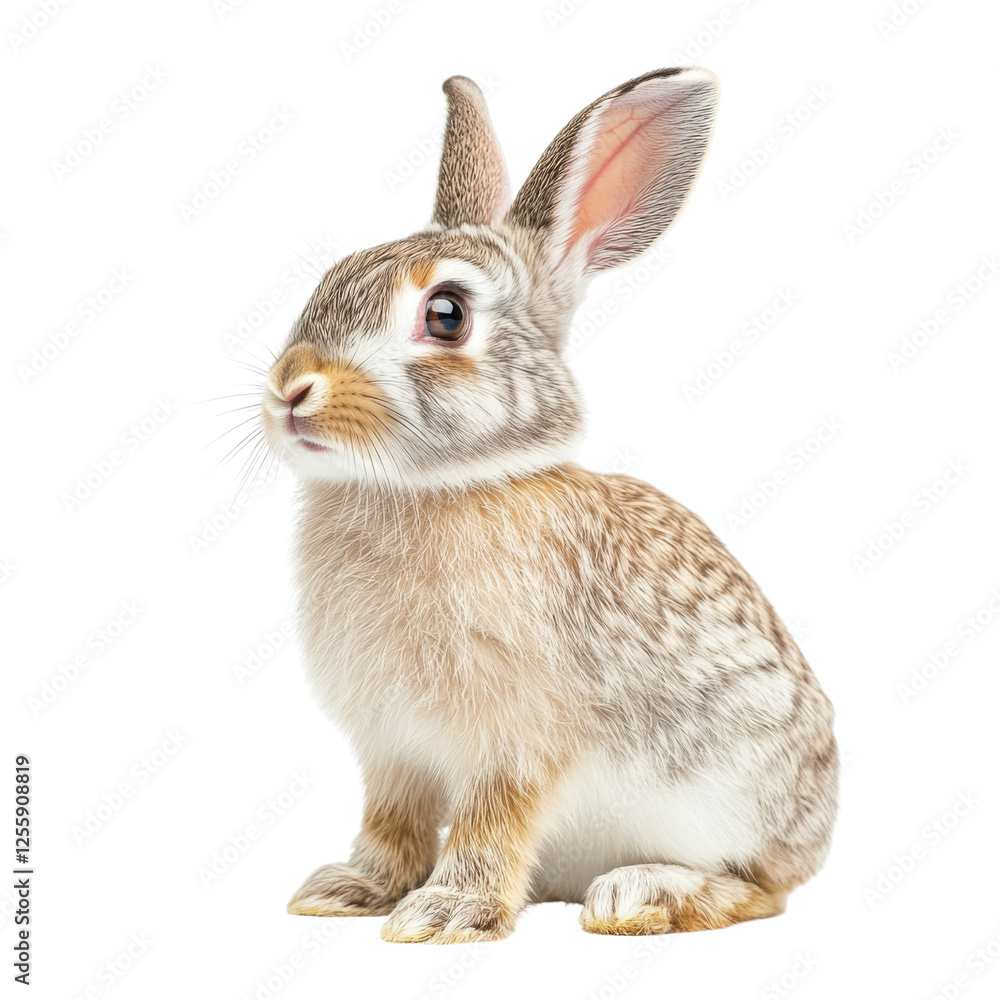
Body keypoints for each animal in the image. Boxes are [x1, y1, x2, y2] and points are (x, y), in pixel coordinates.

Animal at [260, 68, 838, 943]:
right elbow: (390, 822)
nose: (292, 389)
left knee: (762, 888)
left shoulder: (515, 740)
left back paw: (642, 894)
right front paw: (349, 890)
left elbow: (491, 822)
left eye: (447, 314)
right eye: (331, 277)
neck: (439, 487)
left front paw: (446, 914)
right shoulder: (391, 749)